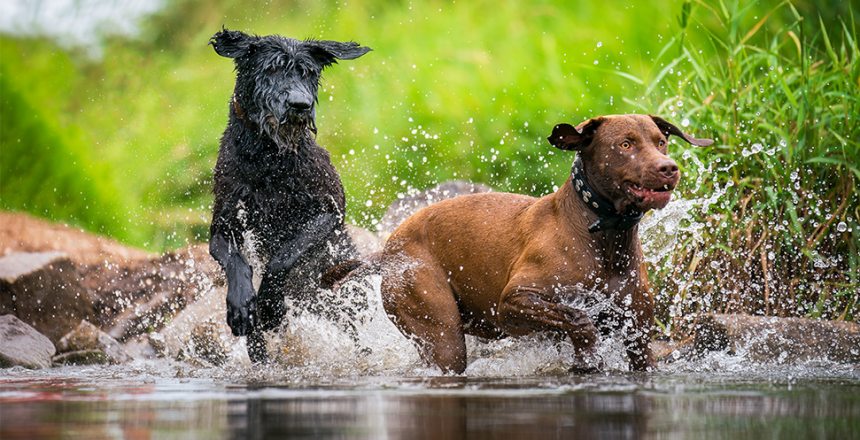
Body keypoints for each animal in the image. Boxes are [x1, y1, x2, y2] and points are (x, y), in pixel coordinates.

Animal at [210, 28, 372, 364]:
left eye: (308, 73)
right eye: (271, 69)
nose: (300, 104)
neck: (267, 156)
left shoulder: (330, 211)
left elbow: (285, 254)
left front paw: (270, 303)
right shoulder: (221, 226)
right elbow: (236, 261)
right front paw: (242, 303)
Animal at [376, 114, 712, 374]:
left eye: (661, 142)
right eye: (625, 144)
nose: (668, 167)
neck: (604, 237)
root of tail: (389, 246)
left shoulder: (639, 334)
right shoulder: (513, 302)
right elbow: (577, 317)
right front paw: (587, 355)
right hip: (439, 328)